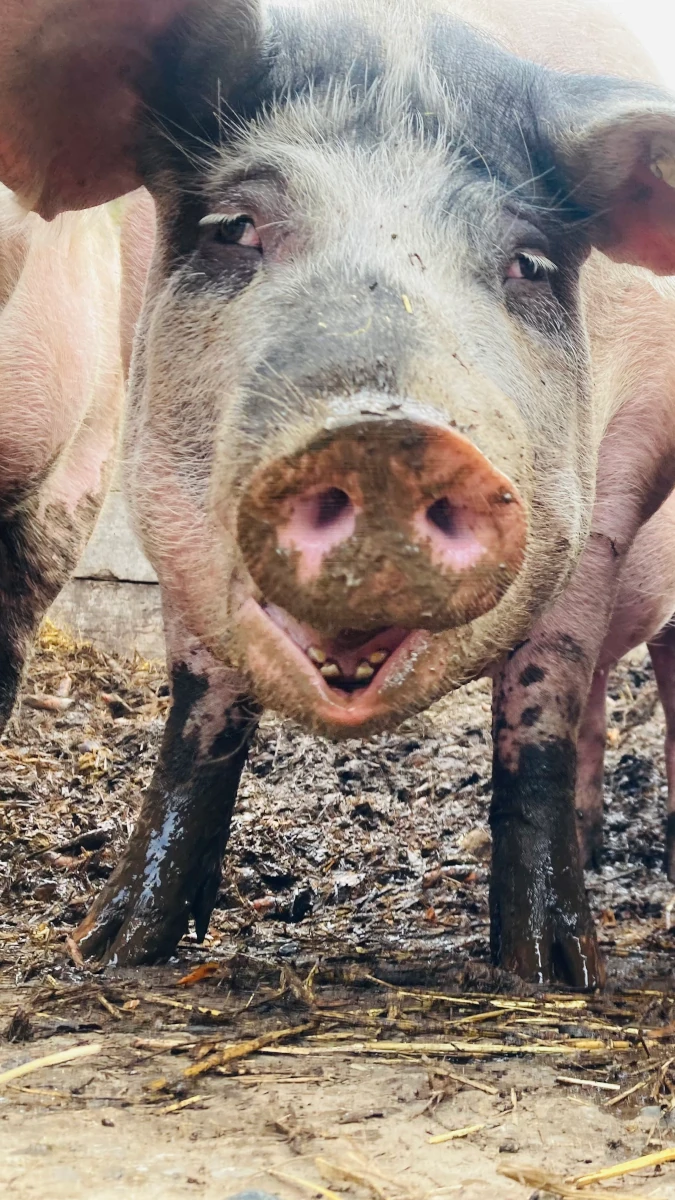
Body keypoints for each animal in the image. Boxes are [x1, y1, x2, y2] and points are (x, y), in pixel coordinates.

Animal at [4, 0, 675, 989]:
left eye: (529, 262)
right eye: (233, 225)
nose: (385, 437)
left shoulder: (619, 470)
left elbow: (541, 696)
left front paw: (555, 974)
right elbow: (200, 703)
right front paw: (111, 950)